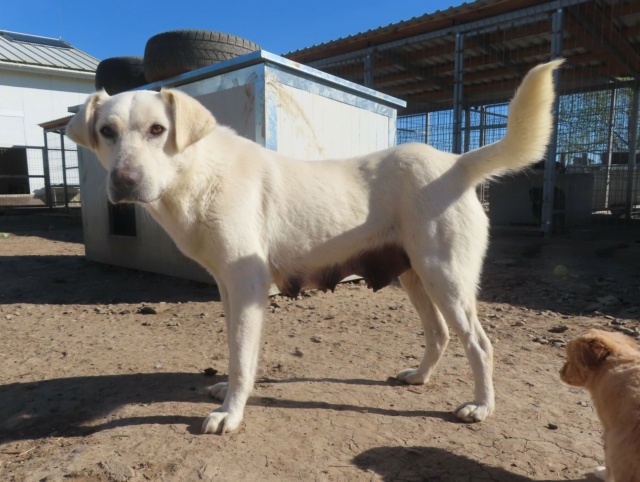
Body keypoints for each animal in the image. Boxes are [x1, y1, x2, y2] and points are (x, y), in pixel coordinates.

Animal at [67, 59, 564, 434]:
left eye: (157, 130)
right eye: (107, 132)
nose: (125, 181)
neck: (197, 173)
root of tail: (455, 162)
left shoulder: (248, 285)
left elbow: (242, 356)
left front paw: (231, 413)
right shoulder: (228, 286)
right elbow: (237, 352)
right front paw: (229, 393)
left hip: (446, 277)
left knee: (479, 343)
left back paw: (481, 407)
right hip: (414, 275)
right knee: (439, 334)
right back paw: (420, 377)